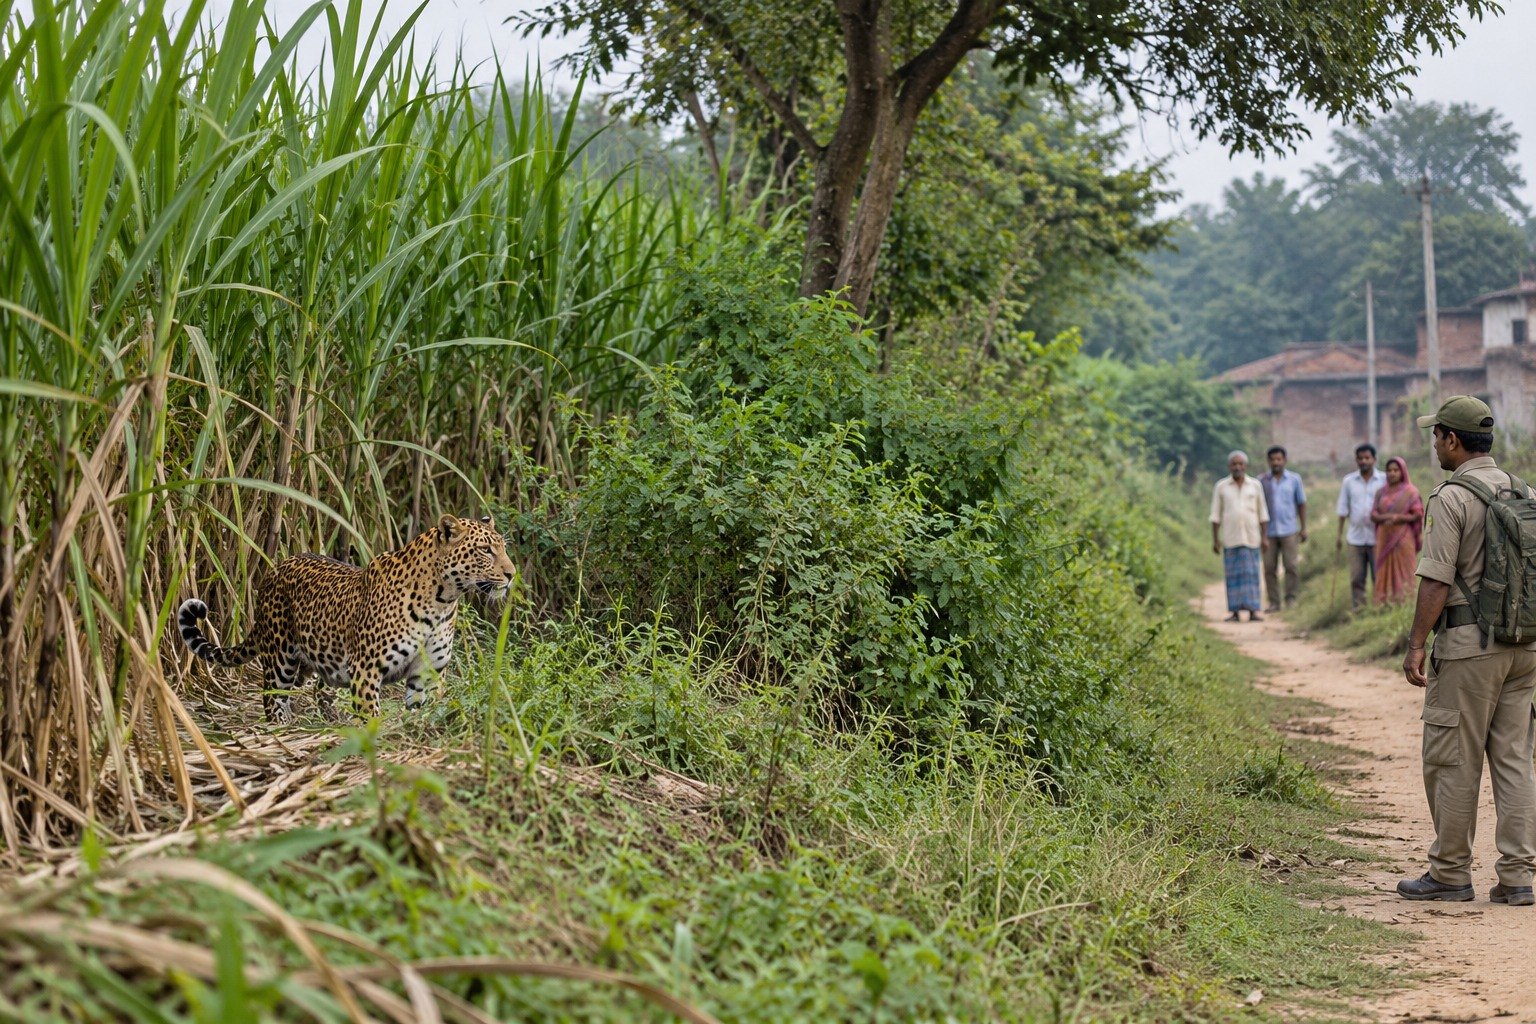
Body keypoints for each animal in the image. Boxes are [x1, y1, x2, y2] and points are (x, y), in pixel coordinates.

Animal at [178, 514, 516, 722]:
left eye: (502, 547)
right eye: (485, 550)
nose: (512, 574)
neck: (442, 600)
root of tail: (275, 568)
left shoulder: (428, 673)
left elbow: (425, 710)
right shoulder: (367, 670)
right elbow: (371, 716)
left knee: (315, 689)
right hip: (280, 657)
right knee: (272, 697)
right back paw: (282, 727)